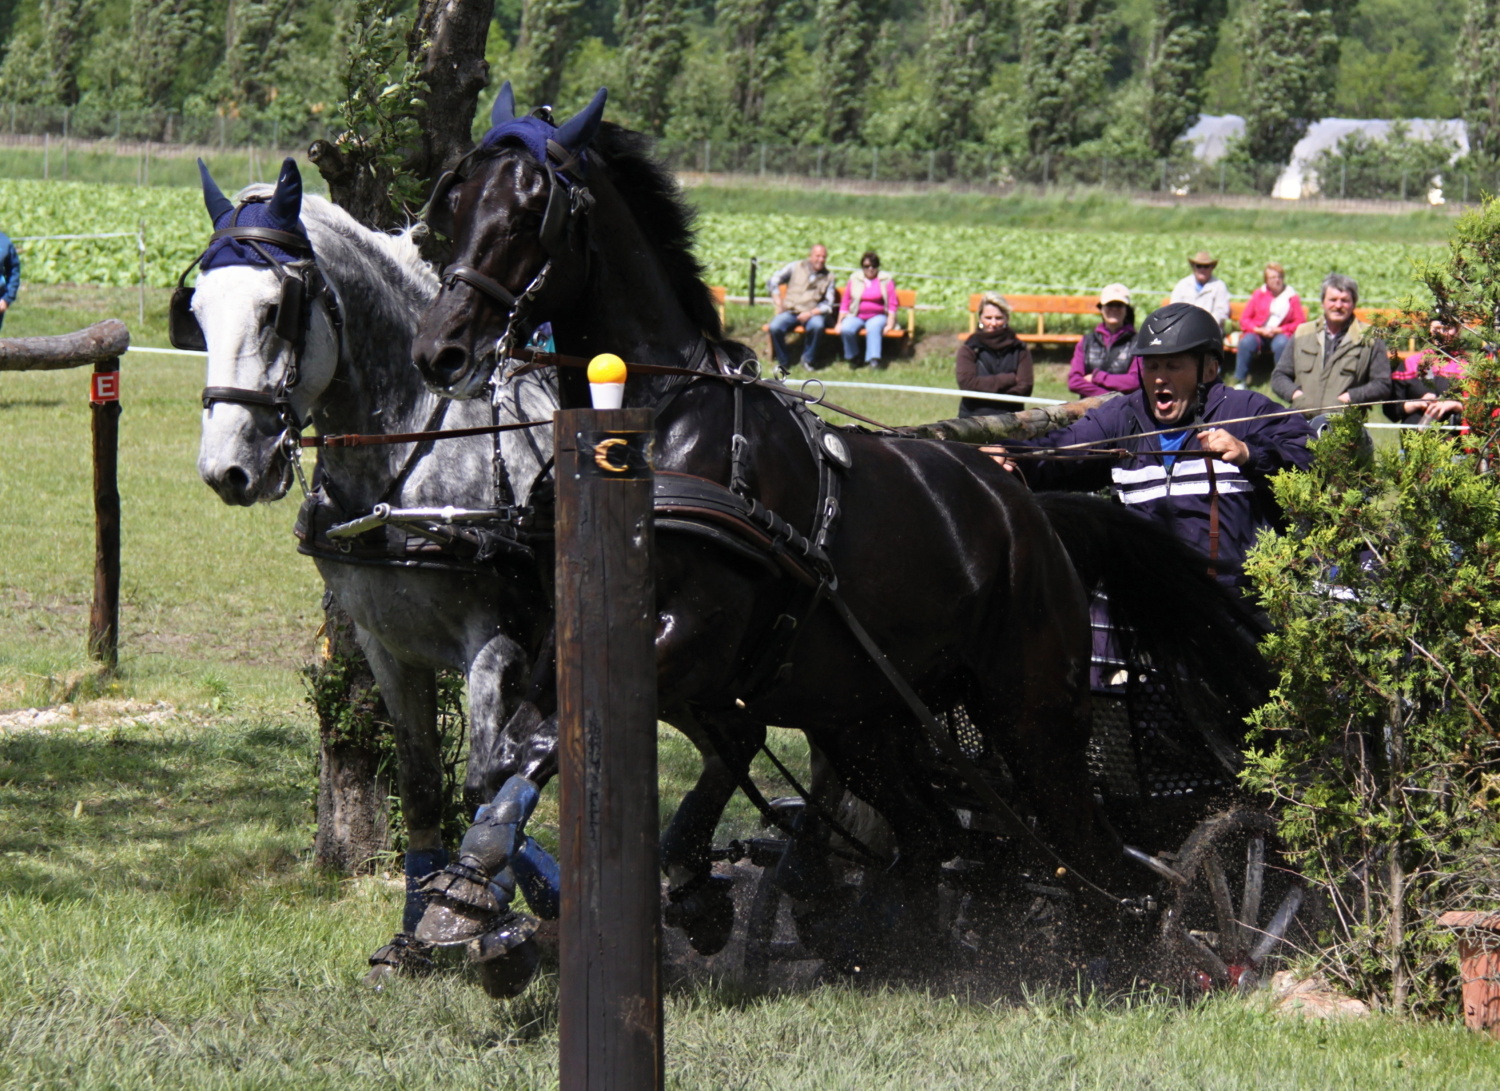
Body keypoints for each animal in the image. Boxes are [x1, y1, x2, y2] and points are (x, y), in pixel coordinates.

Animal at [189, 157, 564, 984]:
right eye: (196, 309)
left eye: (275, 309)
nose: (226, 469)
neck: (408, 457)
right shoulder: (386, 646)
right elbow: (424, 785)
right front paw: (415, 931)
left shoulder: (497, 642)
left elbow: (488, 772)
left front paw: (492, 912)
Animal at [405, 91, 1260, 966]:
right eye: (455, 206)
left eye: (528, 213)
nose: (441, 349)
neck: (661, 424)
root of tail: (1033, 514)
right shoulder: (595, 641)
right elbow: (517, 747)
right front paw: (479, 888)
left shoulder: (698, 635)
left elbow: (567, 744)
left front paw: (484, 893)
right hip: (867, 718)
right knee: (932, 837)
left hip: (1029, 713)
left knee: (1089, 854)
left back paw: (1141, 948)